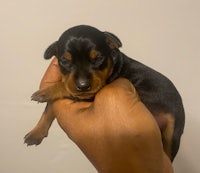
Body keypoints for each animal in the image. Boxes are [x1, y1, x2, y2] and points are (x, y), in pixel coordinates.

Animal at [24, 25, 185, 162]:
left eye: (97, 59)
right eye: (65, 61)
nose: (83, 85)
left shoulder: (91, 93)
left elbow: (63, 88)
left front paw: (44, 92)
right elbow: (49, 109)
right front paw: (36, 133)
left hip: (172, 130)